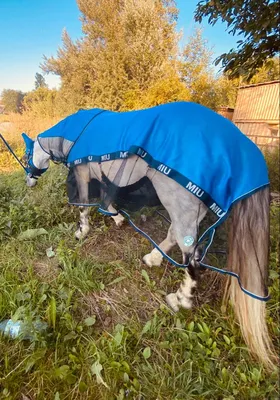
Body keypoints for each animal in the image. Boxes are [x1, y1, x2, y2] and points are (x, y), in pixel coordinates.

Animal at [21, 101, 276, 368]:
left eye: (26, 155)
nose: (28, 182)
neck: (75, 132)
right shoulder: (103, 175)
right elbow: (106, 198)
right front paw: (117, 218)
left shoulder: (82, 173)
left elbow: (84, 205)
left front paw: (82, 232)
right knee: (175, 236)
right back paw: (153, 259)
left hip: (180, 203)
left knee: (192, 258)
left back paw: (179, 299)